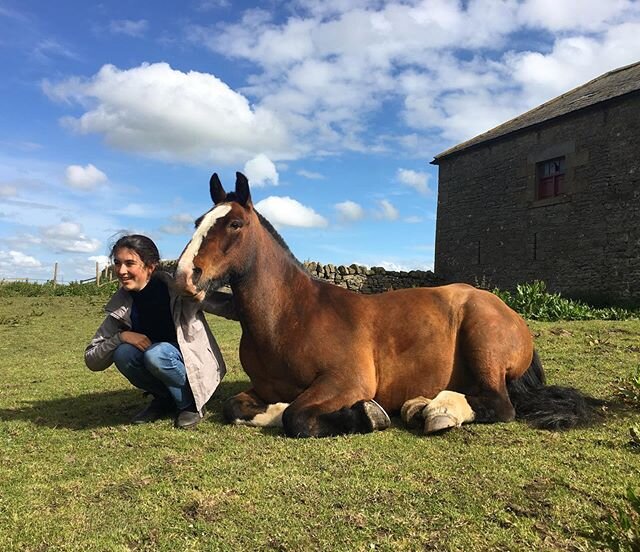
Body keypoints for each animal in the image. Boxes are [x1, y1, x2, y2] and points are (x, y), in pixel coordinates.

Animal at [175, 170, 596, 438]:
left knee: (499, 404)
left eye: (234, 225)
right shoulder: (262, 388)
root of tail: (510, 313)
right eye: (198, 222)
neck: (291, 316)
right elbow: (236, 408)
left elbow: (297, 417)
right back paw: (420, 405)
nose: (184, 276)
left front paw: (365, 415)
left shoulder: (345, 381)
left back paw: (439, 413)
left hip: (483, 342)